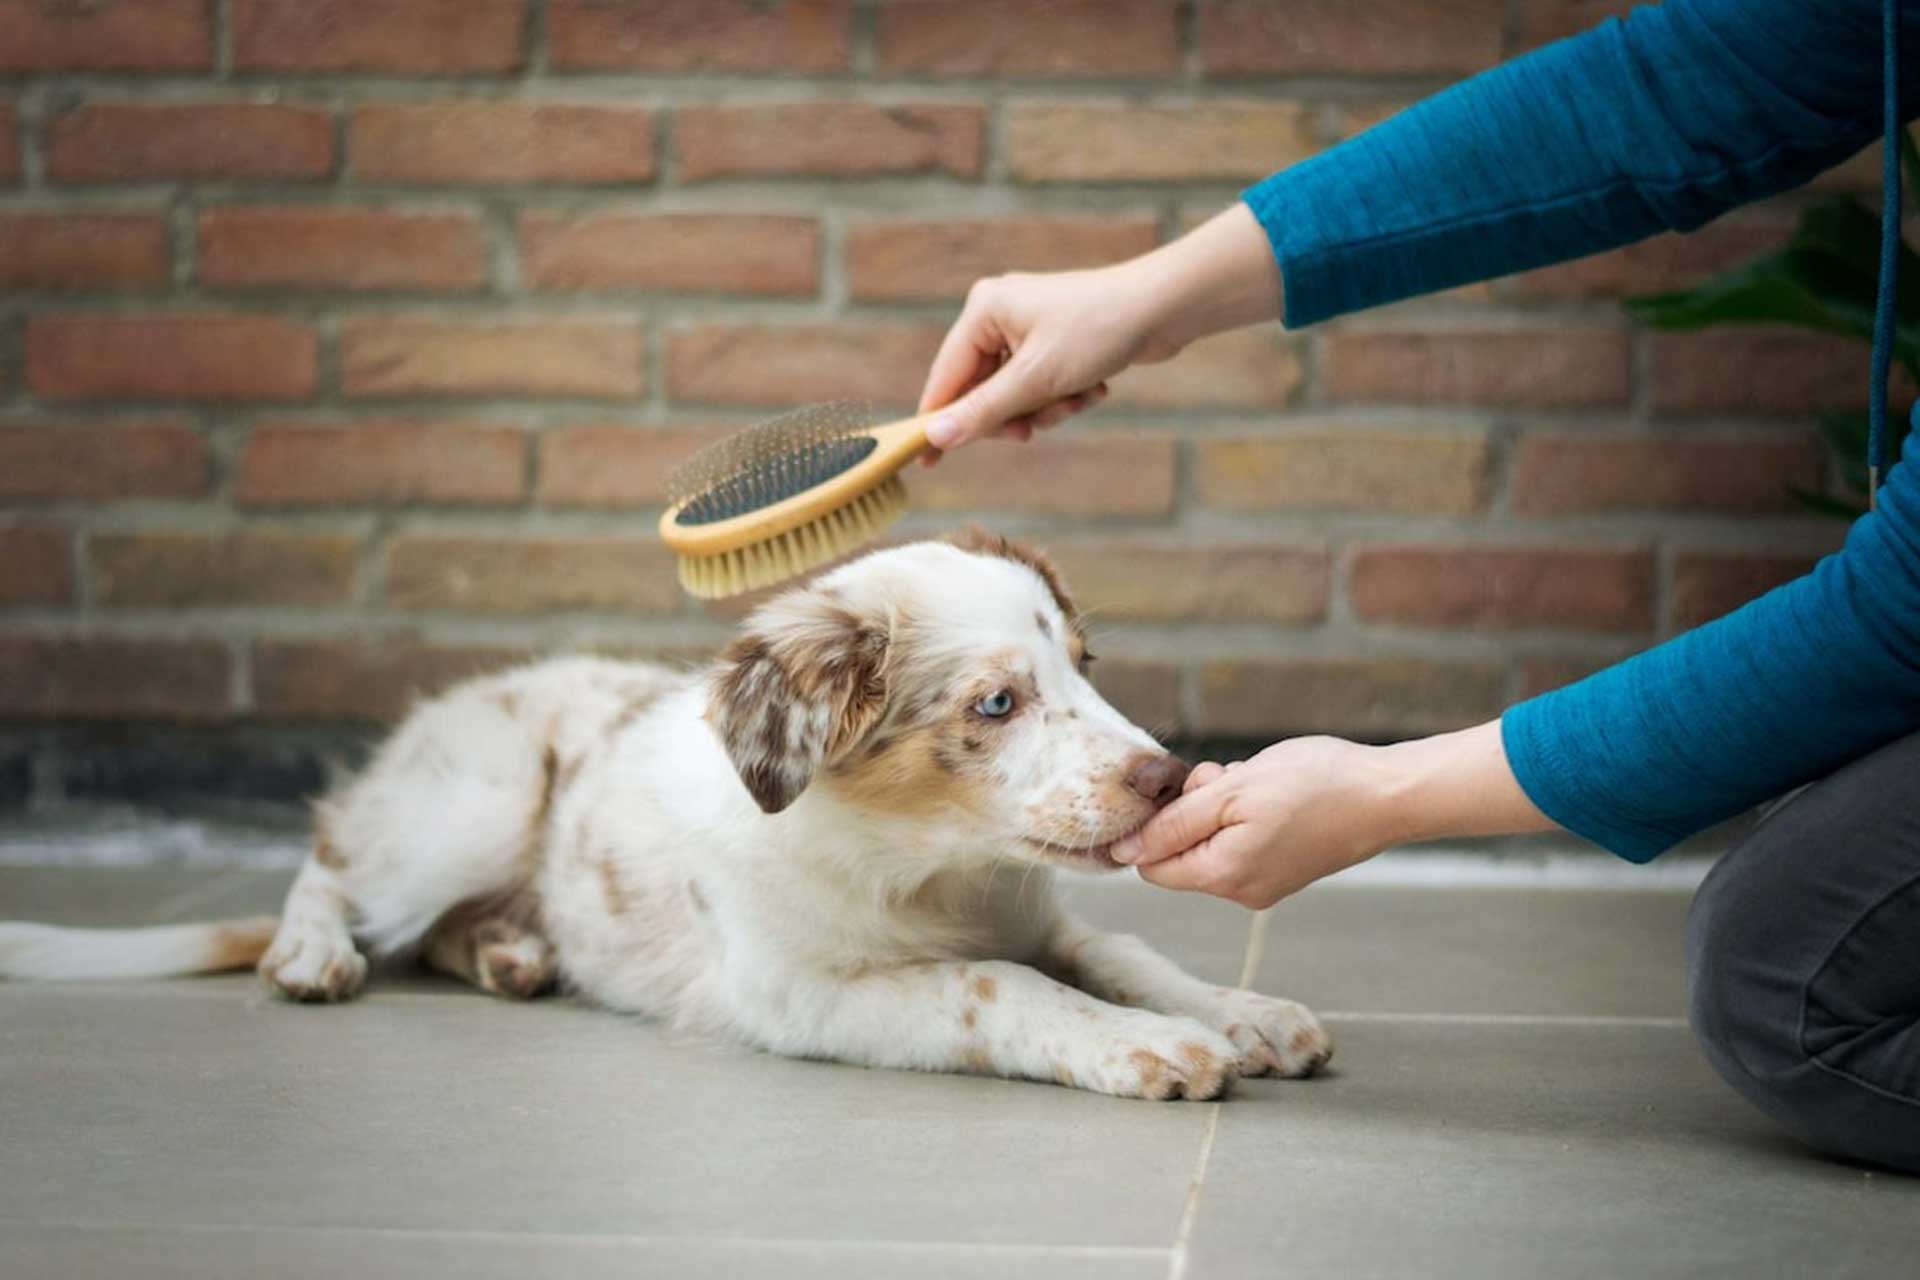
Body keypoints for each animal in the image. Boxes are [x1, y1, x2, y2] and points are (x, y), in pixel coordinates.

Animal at [0, 529, 1328, 1105]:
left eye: (1086, 667)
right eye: (996, 702)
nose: (1168, 777)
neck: (927, 870)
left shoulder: (1041, 915)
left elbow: (1125, 949)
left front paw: (1247, 1013)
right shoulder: (795, 991)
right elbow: (994, 987)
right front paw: (1147, 1048)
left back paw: (513, 951)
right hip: (468, 804)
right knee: (327, 864)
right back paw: (314, 953)